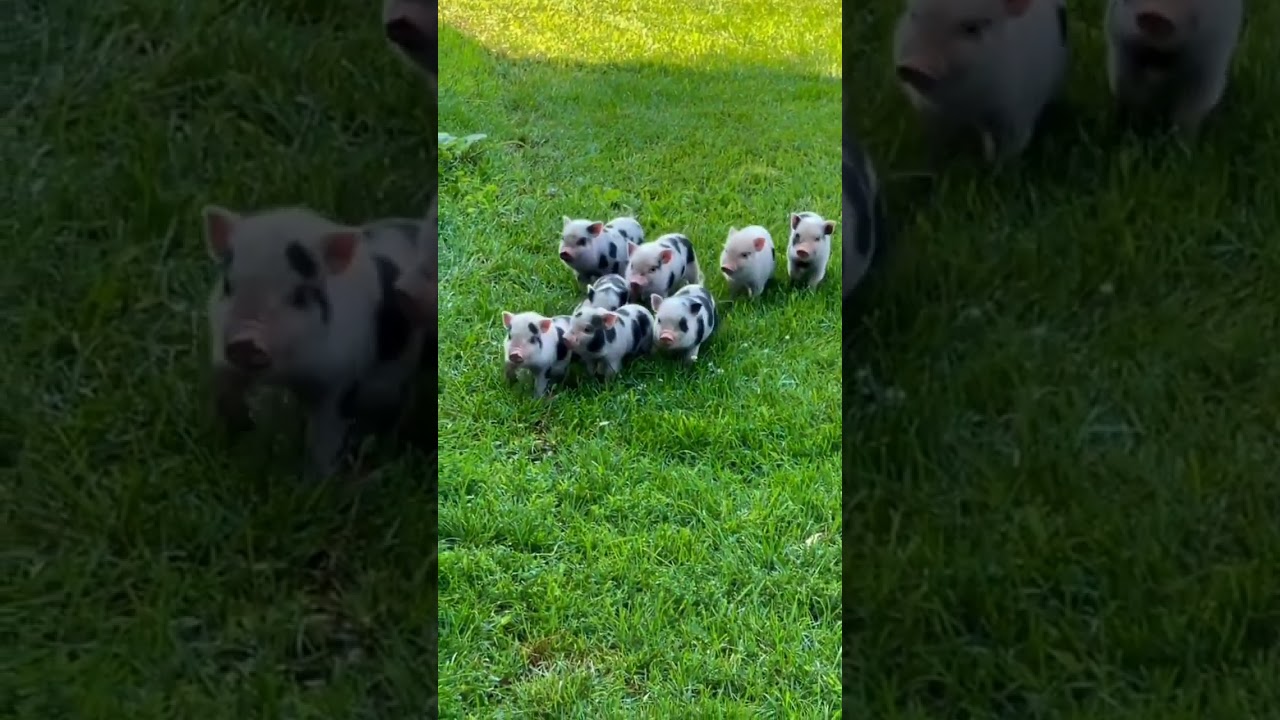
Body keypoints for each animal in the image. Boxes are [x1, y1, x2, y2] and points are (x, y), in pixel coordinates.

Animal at [203, 205, 428, 481]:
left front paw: (317, 483)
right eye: (227, 286)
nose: (245, 342)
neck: (289, 376)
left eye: (300, 295)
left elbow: (325, 437)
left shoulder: (342, 380)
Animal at [892, 0, 1070, 163]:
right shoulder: (930, 114)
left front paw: (998, 168)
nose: (914, 66)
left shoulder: (1017, 109)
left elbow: (1014, 145)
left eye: (972, 28)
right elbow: (936, 146)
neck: (965, 104)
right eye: (914, 16)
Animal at [1103, 0, 1244, 137]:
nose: (1155, 13)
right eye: (1124, 1)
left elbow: (1189, 114)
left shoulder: (1208, 63)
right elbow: (1128, 93)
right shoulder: (1122, 50)